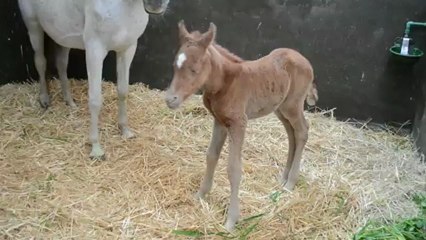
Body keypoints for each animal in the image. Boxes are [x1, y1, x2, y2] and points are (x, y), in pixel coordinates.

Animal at [17, 0, 171, 160]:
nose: (156, 4)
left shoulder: (127, 48)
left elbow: (123, 91)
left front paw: (125, 131)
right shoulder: (94, 51)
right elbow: (95, 100)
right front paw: (96, 148)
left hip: (63, 37)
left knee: (61, 64)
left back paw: (69, 101)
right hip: (34, 27)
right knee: (40, 61)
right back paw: (44, 99)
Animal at [165, 21, 318, 232]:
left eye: (194, 69)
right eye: (174, 66)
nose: (170, 99)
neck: (224, 83)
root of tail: (306, 61)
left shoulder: (238, 123)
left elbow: (234, 168)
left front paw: (231, 221)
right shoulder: (220, 121)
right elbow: (211, 156)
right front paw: (201, 195)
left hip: (293, 105)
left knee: (302, 131)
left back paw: (290, 183)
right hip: (281, 108)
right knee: (291, 134)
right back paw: (284, 178)